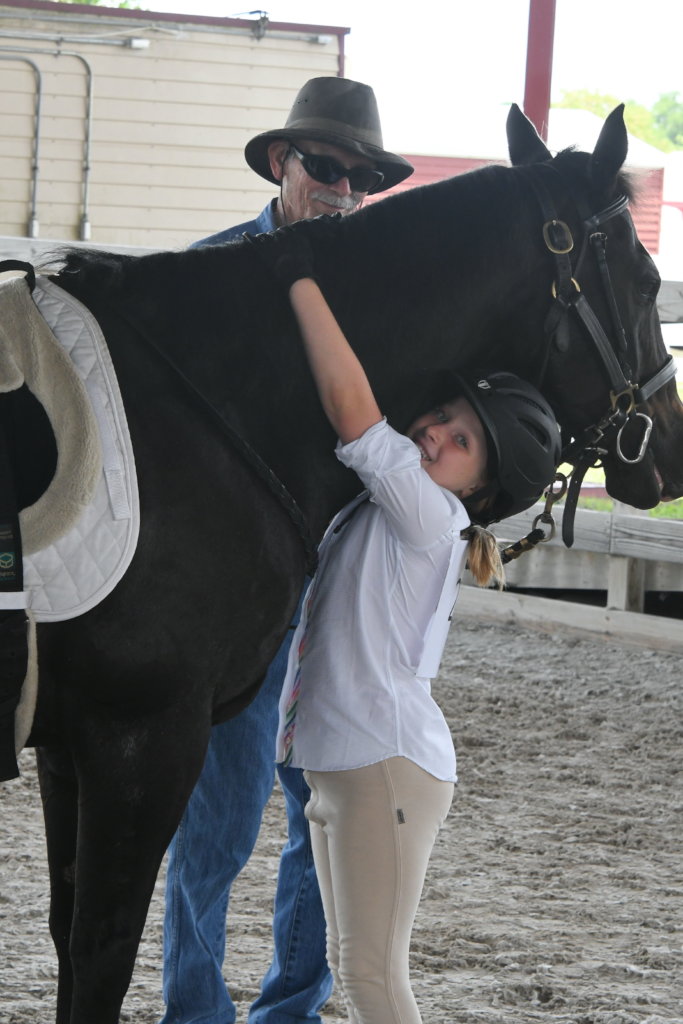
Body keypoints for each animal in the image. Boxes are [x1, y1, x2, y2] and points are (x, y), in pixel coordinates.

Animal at [3, 105, 683, 1024]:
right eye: (647, 283)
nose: (668, 455)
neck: (207, 407)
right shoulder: (141, 737)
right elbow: (101, 949)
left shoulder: (70, 744)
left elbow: (68, 931)